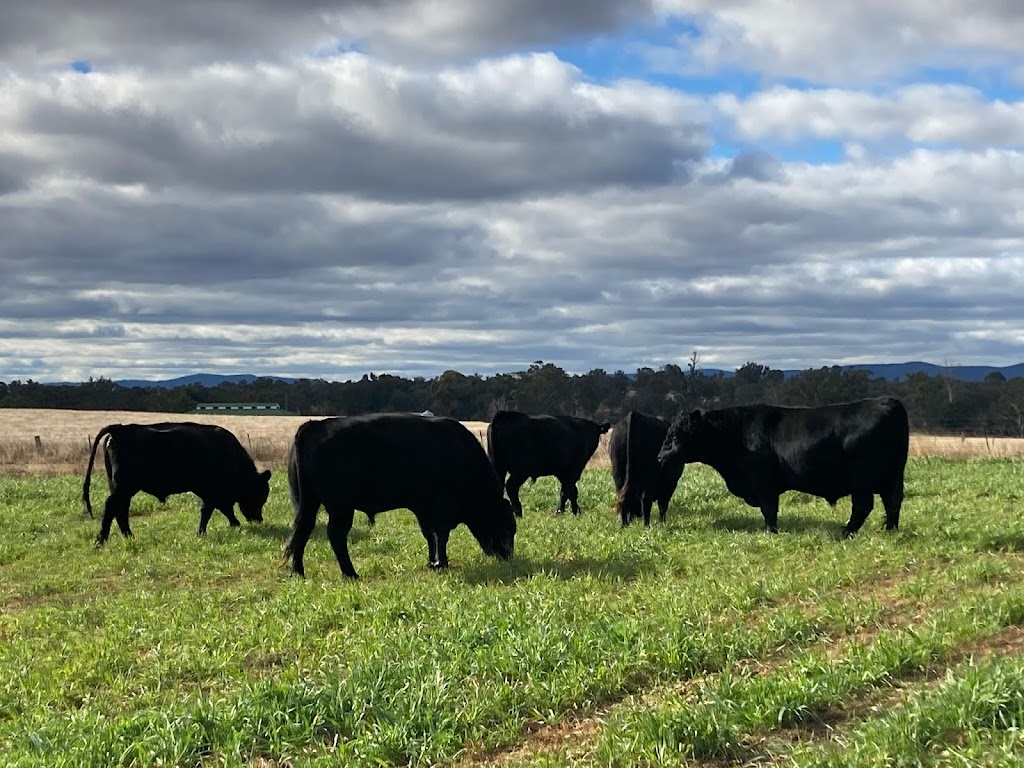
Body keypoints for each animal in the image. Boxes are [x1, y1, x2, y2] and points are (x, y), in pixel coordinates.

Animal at [282, 411, 516, 581]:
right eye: (507, 528)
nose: (508, 557)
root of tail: (313, 426)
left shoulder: (423, 508)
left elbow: (429, 535)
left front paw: (432, 562)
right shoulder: (442, 507)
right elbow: (441, 535)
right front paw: (442, 563)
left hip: (308, 504)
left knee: (302, 532)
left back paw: (298, 572)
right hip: (341, 507)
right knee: (335, 535)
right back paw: (351, 574)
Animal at [659, 393, 909, 536]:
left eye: (675, 436)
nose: (660, 457)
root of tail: (888, 402)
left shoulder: (763, 484)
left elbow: (769, 510)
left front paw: (771, 533)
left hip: (863, 478)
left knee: (864, 505)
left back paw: (846, 533)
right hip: (892, 475)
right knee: (892, 500)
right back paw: (890, 530)